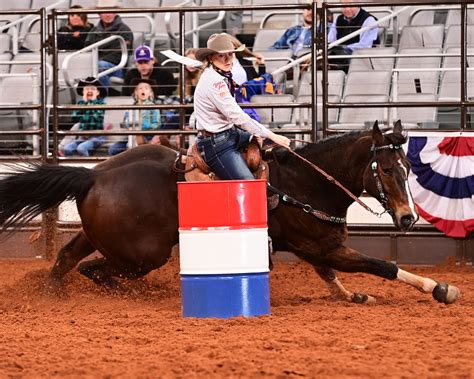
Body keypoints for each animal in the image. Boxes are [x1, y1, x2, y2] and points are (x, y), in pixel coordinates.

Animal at [0, 121, 462, 306]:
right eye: (384, 169)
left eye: (408, 168)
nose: (408, 219)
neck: (305, 184)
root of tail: (93, 175)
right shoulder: (321, 247)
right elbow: (381, 265)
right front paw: (440, 288)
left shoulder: (319, 248)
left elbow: (333, 278)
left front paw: (354, 296)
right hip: (142, 254)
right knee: (94, 270)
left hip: (98, 235)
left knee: (66, 259)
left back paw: (49, 297)